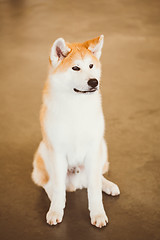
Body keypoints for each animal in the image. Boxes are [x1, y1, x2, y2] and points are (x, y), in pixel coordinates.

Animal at [31, 35, 119, 229]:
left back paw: (108, 185)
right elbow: (57, 188)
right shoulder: (57, 152)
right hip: (43, 151)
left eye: (91, 66)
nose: (94, 82)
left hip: (102, 146)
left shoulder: (93, 148)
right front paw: (56, 210)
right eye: (75, 68)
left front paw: (98, 213)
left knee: (97, 176)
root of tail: (77, 183)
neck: (77, 105)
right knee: (48, 183)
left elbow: (94, 190)